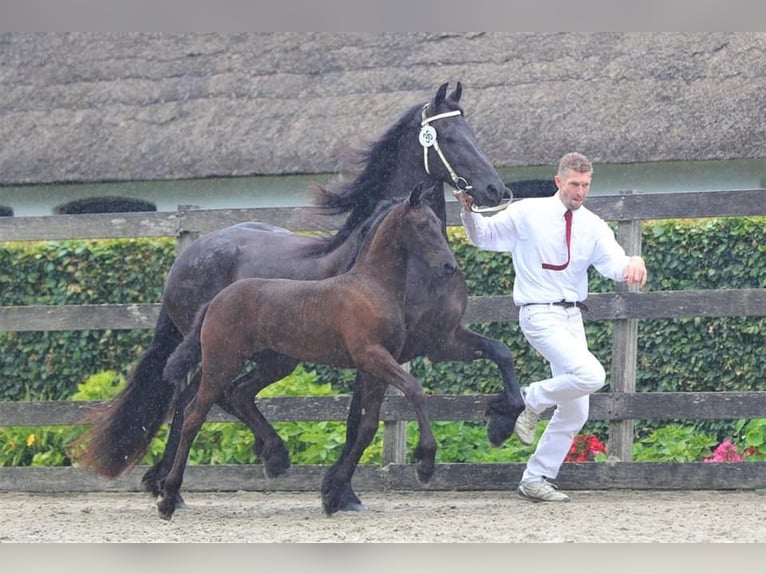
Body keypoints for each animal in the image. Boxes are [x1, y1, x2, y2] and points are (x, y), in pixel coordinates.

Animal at [156, 184, 455, 520]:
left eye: (438, 223)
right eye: (422, 225)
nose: (449, 266)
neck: (370, 288)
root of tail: (215, 301)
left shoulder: (374, 367)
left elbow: (366, 427)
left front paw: (335, 495)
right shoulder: (372, 356)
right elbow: (414, 390)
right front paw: (426, 462)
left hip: (273, 363)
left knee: (237, 395)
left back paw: (272, 458)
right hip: (222, 363)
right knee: (194, 414)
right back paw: (168, 497)